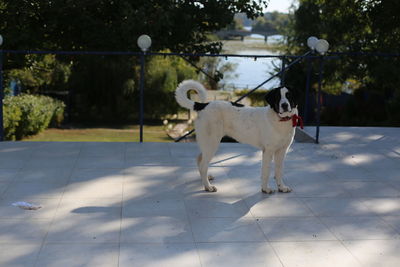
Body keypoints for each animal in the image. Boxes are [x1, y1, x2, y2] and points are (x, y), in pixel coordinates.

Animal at [173, 79, 302, 195]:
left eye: (289, 96)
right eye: (277, 97)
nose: (284, 105)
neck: (281, 121)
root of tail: (204, 105)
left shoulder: (282, 151)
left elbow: (279, 171)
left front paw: (282, 187)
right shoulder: (268, 151)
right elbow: (266, 172)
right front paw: (265, 189)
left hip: (207, 143)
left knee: (199, 159)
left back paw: (206, 179)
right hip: (212, 143)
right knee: (203, 164)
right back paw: (208, 187)